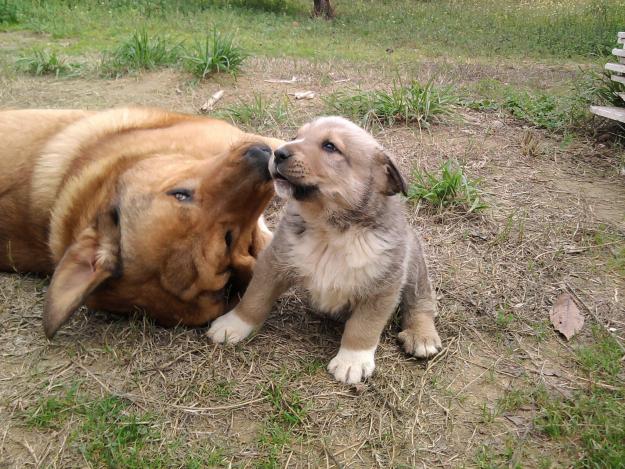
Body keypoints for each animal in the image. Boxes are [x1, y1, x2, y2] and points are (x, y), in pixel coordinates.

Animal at [207, 115, 442, 382]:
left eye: (330, 147)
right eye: (297, 136)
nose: (278, 153)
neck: (330, 230)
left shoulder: (382, 287)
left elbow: (363, 326)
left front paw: (352, 360)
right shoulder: (274, 262)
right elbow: (254, 299)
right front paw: (233, 325)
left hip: (414, 267)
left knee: (421, 301)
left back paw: (421, 335)